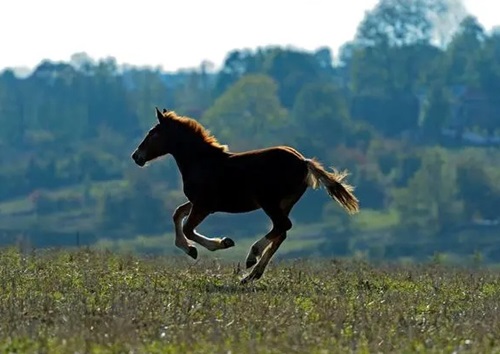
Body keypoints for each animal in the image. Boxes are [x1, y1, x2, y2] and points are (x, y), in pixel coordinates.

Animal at [133, 106, 360, 284]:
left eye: (153, 134)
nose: (136, 156)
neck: (201, 161)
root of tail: (304, 162)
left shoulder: (204, 205)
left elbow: (188, 228)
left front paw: (218, 244)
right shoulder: (200, 203)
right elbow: (177, 214)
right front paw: (190, 249)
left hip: (269, 201)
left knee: (282, 226)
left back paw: (252, 257)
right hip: (285, 203)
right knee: (281, 232)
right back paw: (250, 275)